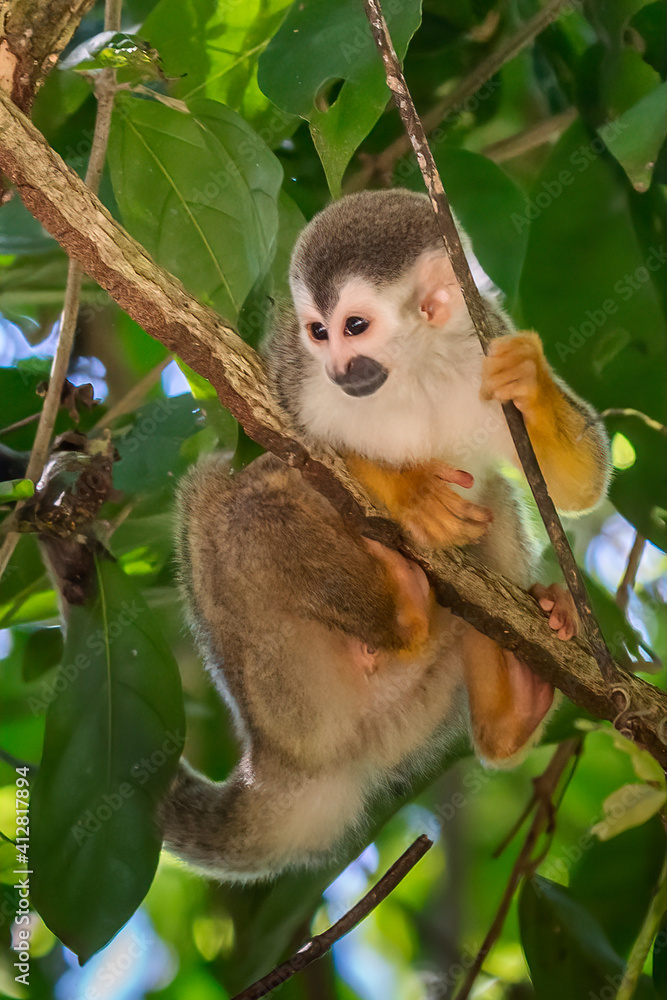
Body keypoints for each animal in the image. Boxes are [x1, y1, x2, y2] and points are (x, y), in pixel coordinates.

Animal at [159, 189, 610, 882]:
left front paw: (529, 380)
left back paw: (510, 709)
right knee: (235, 506)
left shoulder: (481, 342)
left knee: (493, 502)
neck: (415, 368)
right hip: (284, 686)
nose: (340, 368)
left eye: (354, 327)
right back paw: (400, 614)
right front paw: (410, 493)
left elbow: (580, 484)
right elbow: (277, 450)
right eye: (317, 332)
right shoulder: (294, 374)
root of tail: (279, 764)